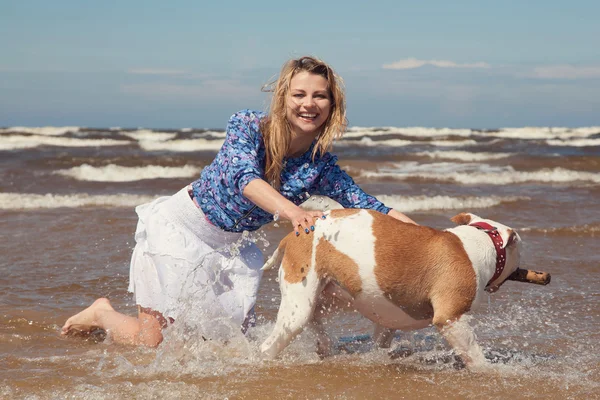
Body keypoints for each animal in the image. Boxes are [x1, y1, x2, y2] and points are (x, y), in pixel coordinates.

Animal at [260, 209, 524, 368]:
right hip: (298, 308)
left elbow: (381, 340)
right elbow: (475, 354)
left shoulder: (388, 318)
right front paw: (491, 372)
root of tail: (293, 234)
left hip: (325, 297)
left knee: (317, 322)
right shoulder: (451, 318)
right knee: (269, 345)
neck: (480, 239)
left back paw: (325, 348)